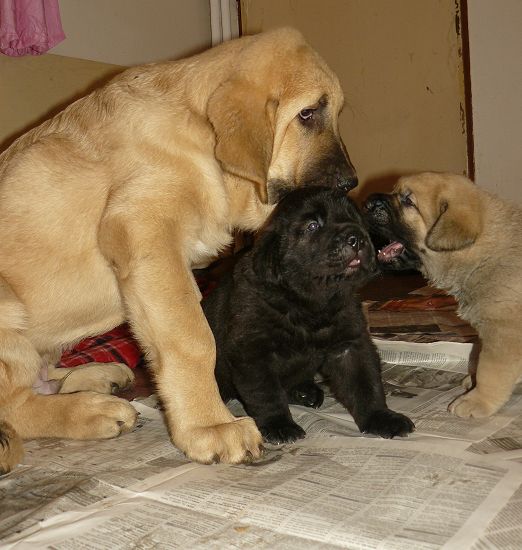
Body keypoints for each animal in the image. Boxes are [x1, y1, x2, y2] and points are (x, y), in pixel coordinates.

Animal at [0, 27, 358, 474]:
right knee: (16, 406)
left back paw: (98, 377)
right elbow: (193, 337)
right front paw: (210, 426)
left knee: (42, 381)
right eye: (307, 114)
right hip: (7, 312)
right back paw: (92, 410)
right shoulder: (147, 234)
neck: (199, 138)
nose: (351, 183)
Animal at [201, 188, 412, 446]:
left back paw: (305, 391)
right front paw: (279, 425)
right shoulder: (252, 352)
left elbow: (366, 384)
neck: (310, 304)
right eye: (313, 226)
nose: (356, 238)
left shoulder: (350, 345)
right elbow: (266, 394)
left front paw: (380, 417)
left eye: (356, 220)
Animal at [364, 175, 520, 420]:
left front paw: (476, 401)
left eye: (408, 201)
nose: (368, 202)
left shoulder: (503, 333)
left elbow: (489, 370)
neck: (477, 254)